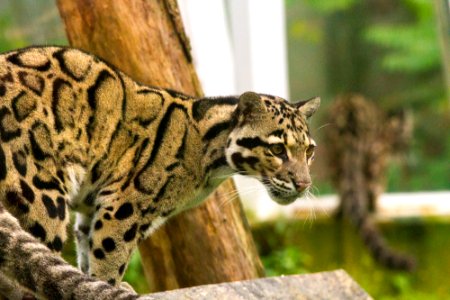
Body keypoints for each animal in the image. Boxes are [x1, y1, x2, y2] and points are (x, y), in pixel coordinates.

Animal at [0, 45, 320, 296]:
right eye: (277, 150)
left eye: (309, 151)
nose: (304, 184)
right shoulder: (123, 208)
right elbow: (108, 258)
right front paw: (105, 286)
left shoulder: (92, 208)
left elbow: (86, 253)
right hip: (42, 196)